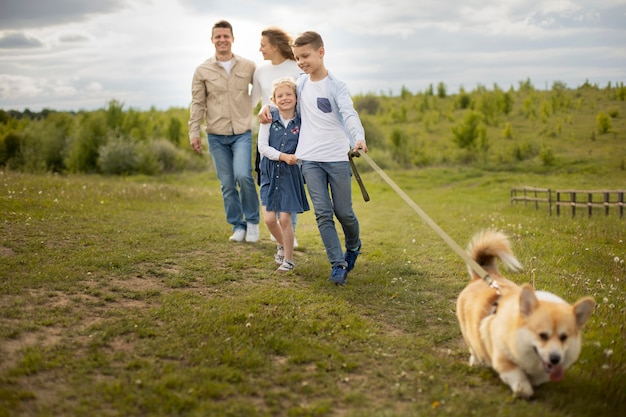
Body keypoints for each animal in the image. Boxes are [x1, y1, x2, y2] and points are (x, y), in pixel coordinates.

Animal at [454, 231, 596, 396]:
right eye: (542, 335)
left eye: (564, 337)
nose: (555, 359)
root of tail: (483, 274)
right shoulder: (503, 358)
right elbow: (516, 374)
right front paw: (524, 389)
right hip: (468, 331)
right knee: (474, 347)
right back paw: (477, 362)